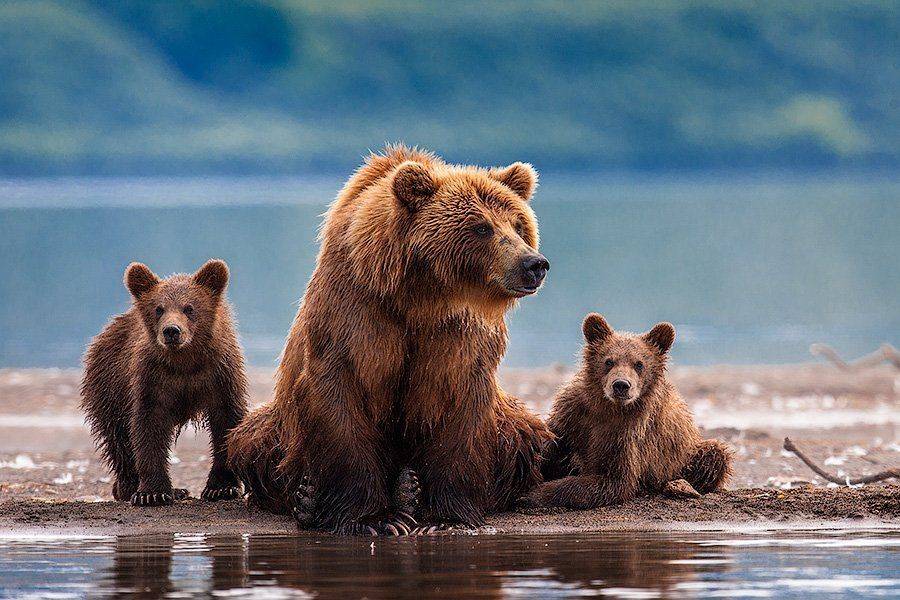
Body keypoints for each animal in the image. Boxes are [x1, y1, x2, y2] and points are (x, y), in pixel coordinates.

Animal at [81, 259, 248, 506]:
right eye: (159, 308)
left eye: (189, 308)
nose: (171, 331)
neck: (185, 362)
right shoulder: (153, 378)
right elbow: (148, 426)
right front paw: (152, 492)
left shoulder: (220, 373)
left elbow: (226, 419)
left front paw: (221, 488)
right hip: (109, 387)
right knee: (119, 439)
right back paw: (130, 487)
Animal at [228, 144, 551, 535]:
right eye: (482, 227)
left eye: (519, 225)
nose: (533, 264)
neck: (421, 295)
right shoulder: (356, 311)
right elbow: (341, 398)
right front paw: (375, 519)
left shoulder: (458, 335)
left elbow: (460, 407)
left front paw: (446, 519)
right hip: (281, 424)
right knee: (251, 440)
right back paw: (306, 499)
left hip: (510, 422)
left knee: (525, 433)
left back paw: (409, 488)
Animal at [519, 313, 732, 509]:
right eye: (608, 361)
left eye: (639, 364)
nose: (621, 385)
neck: (607, 407)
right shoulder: (573, 414)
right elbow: (550, 440)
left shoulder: (627, 435)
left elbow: (615, 481)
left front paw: (534, 494)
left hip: (687, 455)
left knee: (715, 453)